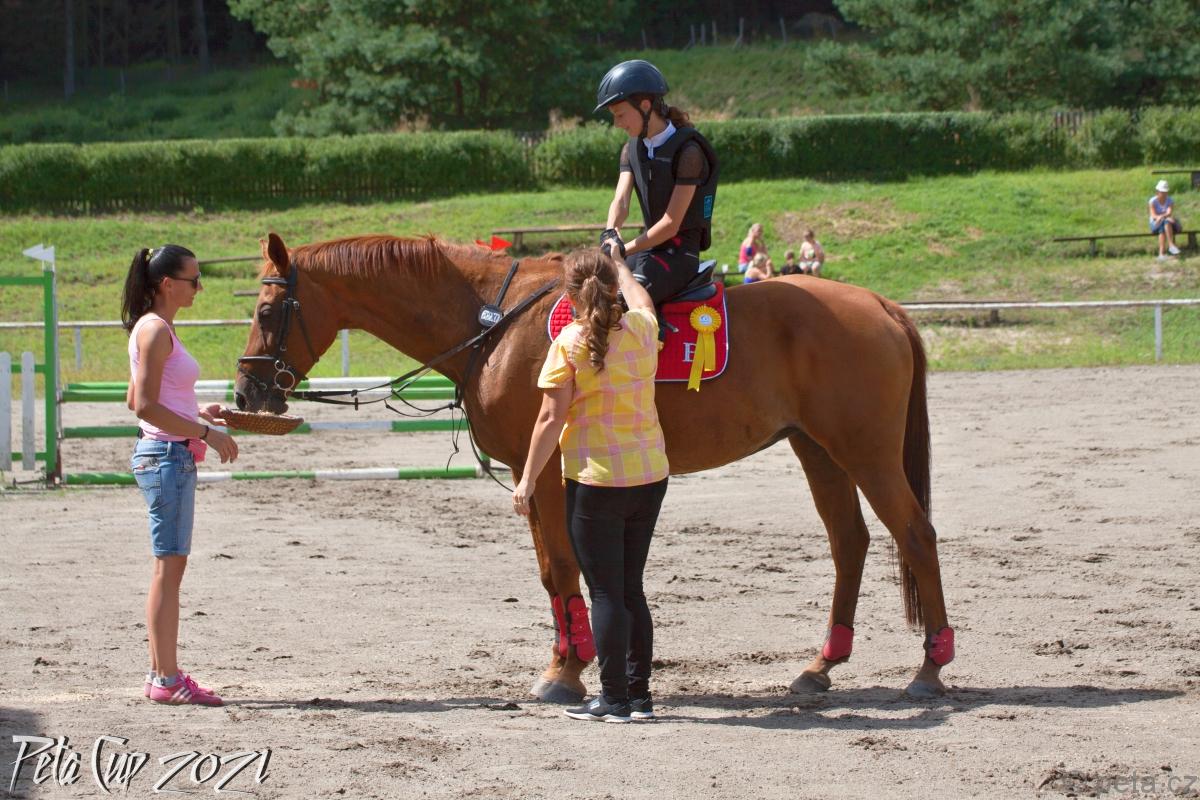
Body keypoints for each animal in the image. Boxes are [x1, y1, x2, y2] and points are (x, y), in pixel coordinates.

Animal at [234, 232, 955, 700]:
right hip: (818, 449)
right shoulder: (532, 472)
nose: (246, 392)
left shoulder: (548, 468)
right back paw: (821, 665)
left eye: (268, 310)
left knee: (915, 535)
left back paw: (929, 668)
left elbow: (561, 567)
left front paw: (565, 672)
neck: (490, 321)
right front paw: (568, 662)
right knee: (850, 542)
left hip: (864, 452)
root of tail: (878, 304)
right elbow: (551, 571)